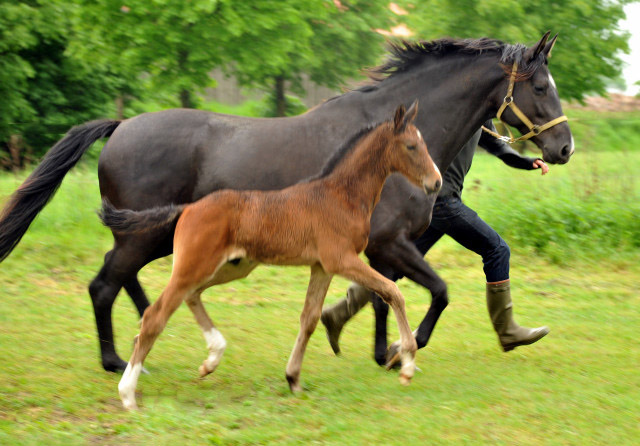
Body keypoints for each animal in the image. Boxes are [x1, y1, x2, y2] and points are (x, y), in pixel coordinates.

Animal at [102, 102, 442, 412]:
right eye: (411, 146)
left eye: (424, 142)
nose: (435, 182)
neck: (340, 195)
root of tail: (187, 208)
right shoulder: (341, 260)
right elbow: (392, 291)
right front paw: (406, 363)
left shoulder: (322, 267)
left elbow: (309, 318)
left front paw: (293, 379)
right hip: (194, 266)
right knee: (155, 315)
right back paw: (128, 394)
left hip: (231, 267)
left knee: (190, 296)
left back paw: (212, 358)